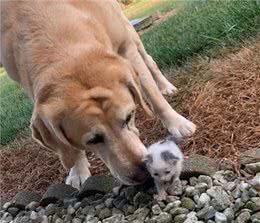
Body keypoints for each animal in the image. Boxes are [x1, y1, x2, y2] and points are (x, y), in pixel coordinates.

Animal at [0, 0, 195, 189]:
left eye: (129, 117)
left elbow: (151, 92)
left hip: (130, 31)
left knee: (150, 62)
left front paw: (177, 123)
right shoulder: (28, 84)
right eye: (93, 140)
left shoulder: (126, 47)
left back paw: (165, 86)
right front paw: (77, 169)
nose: (144, 174)